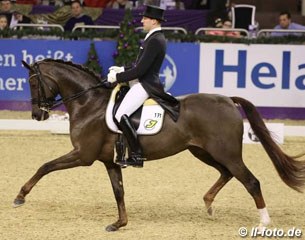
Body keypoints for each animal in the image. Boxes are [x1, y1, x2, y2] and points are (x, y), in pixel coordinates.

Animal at [14, 59, 304, 232]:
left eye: (32, 82)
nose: (37, 115)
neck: (89, 104)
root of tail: (228, 100)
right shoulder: (109, 161)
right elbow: (118, 191)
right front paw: (119, 223)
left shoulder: (83, 155)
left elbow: (45, 166)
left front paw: (20, 196)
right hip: (203, 151)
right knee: (227, 173)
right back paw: (209, 204)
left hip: (226, 152)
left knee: (250, 180)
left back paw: (264, 222)